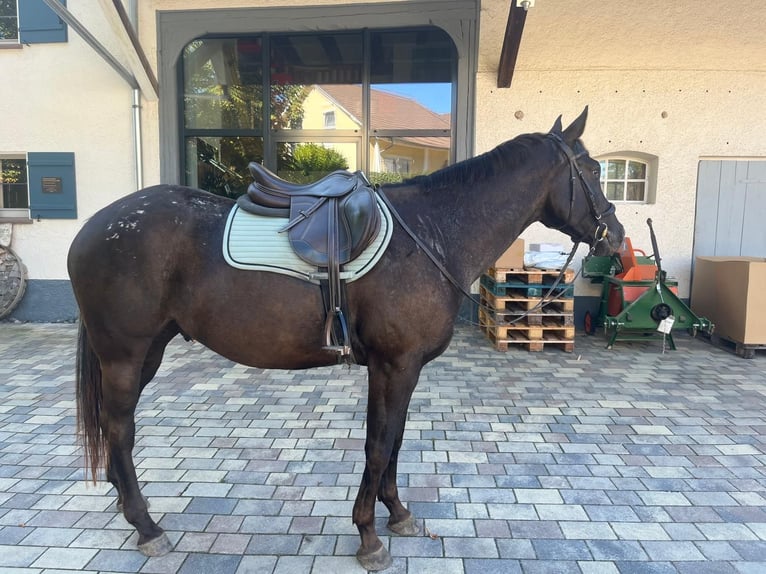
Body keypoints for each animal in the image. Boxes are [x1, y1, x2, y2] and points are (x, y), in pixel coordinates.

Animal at [67, 108, 624, 571]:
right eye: (594, 171)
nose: (616, 240)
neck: (433, 231)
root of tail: (94, 226)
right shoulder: (392, 365)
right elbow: (378, 445)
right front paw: (369, 535)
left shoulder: (406, 369)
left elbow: (396, 440)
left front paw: (397, 513)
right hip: (124, 355)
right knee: (119, 430)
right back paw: (147, 526)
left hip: (148, 353)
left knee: (115, 428)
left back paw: (126, 505)